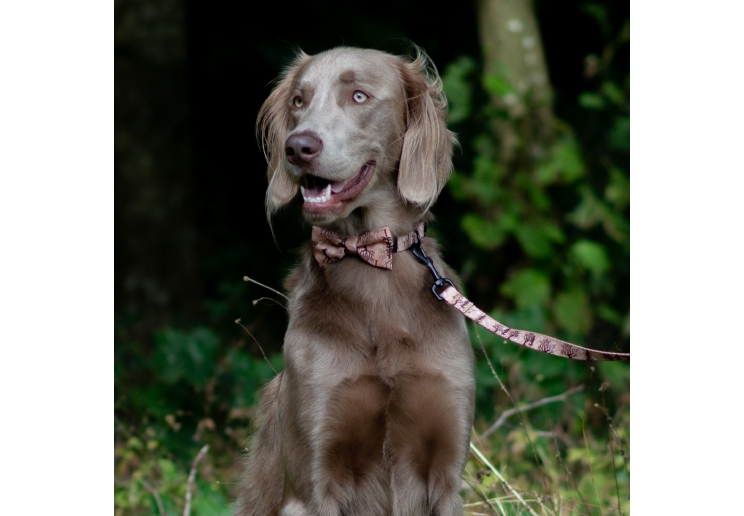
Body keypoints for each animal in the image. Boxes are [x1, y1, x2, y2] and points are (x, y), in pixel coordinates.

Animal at [235, 47, 474, 516]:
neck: (370, 254)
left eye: (359, 96)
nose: (297, 147)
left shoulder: (447, 468)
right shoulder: (315, 478)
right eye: (299, 101)